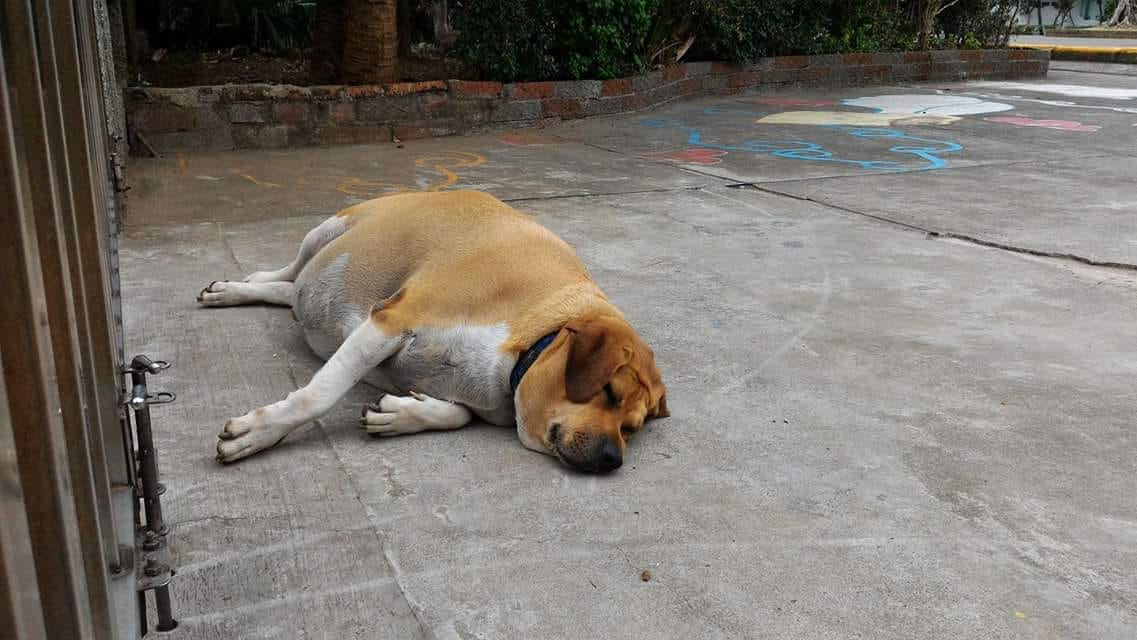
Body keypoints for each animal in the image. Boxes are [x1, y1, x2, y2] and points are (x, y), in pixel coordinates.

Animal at [200, 188, 668, 470]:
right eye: (610, 393)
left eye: (631, 428)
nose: (613, 458)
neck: (534, 332)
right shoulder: (390, 321)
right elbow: (317, 396)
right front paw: (258, 433)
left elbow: (458, 414)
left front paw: (401, 414)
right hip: (329, 230)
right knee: (289, 272)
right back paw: (237, 286)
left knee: (290, 290)